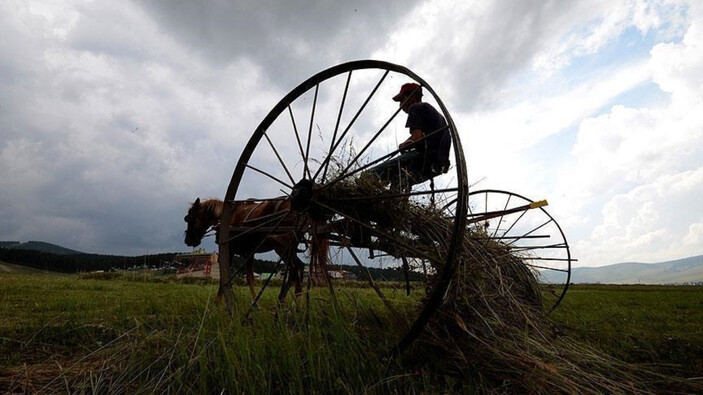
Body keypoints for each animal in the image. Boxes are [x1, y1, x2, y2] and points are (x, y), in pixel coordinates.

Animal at [184, 198, 328, 304]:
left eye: (190, 217)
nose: (188, 240)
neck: (227, 216)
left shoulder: (228, 250)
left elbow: (224, 277)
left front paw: (218, 301)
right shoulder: (249, 253)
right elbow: (249, 278)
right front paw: (255, 302)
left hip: (282, 247)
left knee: (295, 268)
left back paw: (289, 302)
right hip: (289, 248)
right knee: (297, 269)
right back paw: (290, 301)